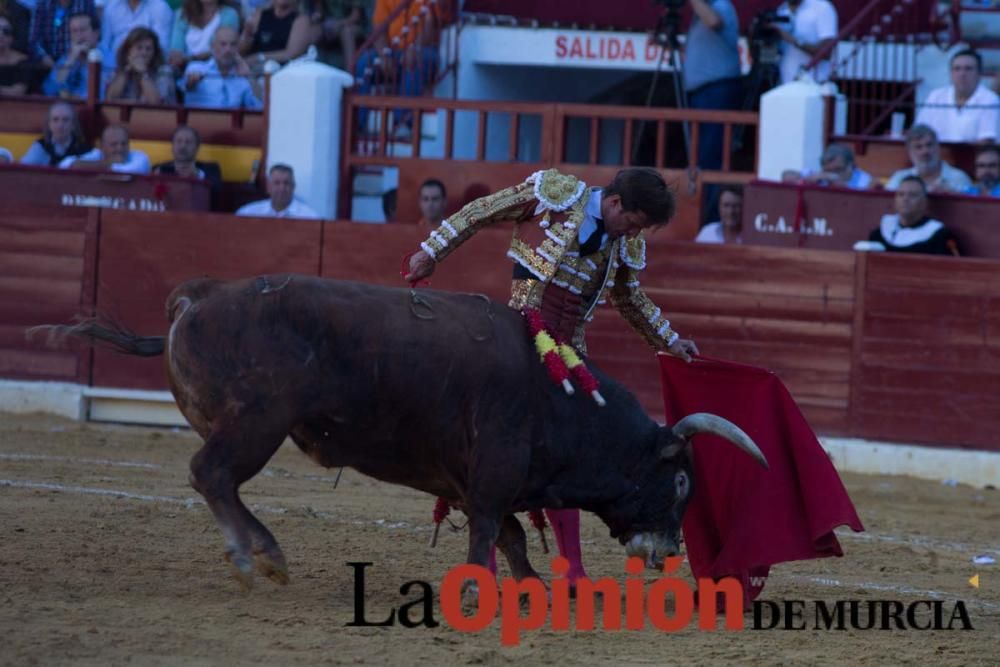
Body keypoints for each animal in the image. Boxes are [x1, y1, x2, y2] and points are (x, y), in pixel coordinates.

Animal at [41, 276, 764, 588]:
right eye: (681, 481)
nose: (667, 551)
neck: (560, 397)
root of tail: (194, 301)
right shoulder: (495, 471)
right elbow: (489, 532)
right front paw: (476, 587)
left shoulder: (478, 480)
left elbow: (509, 534)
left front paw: (531, 584)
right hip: (258, 421)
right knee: (211, 474)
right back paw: (258, 556)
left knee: (216, 479)